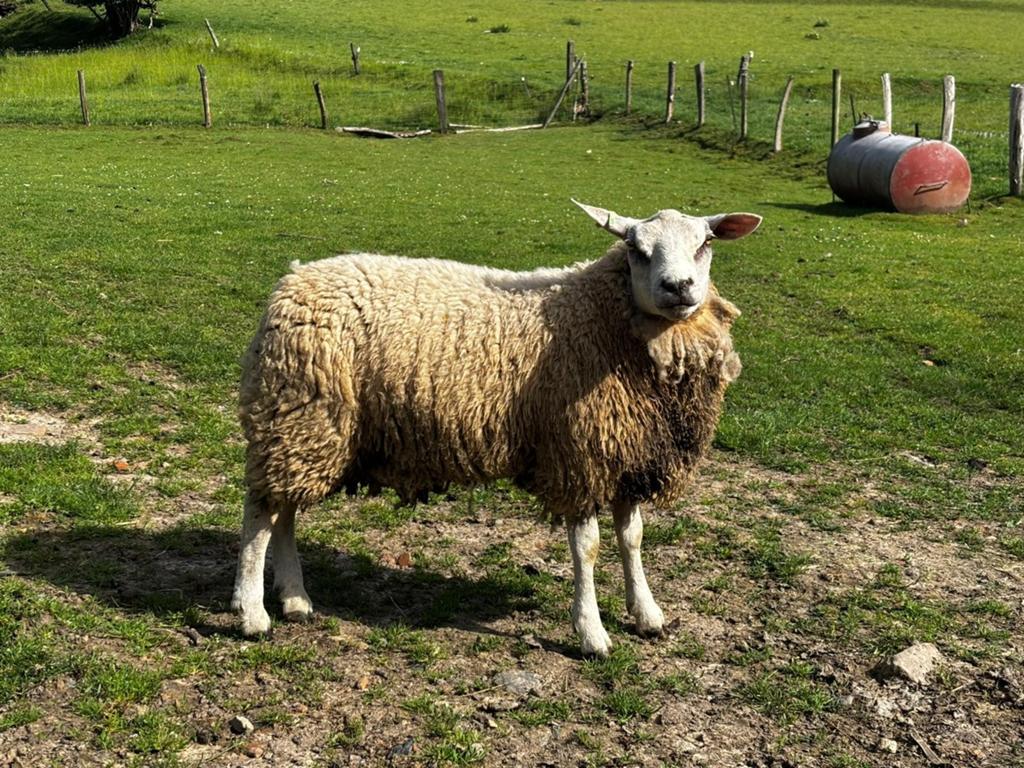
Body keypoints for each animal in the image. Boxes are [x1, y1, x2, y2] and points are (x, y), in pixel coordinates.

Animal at [231, 200, 762, 657]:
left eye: (705, 243)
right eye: (636, 248)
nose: (679, 286)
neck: (604, 318)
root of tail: (293, 279)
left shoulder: (625, 453)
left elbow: (632, 538)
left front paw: (648, 614)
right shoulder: (577, 453)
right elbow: (588, 549)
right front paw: (591, 633)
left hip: (309, 432)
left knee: (285, 512)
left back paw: (295, 599)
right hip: (299, 414)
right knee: (261, 513)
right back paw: (253, 612)